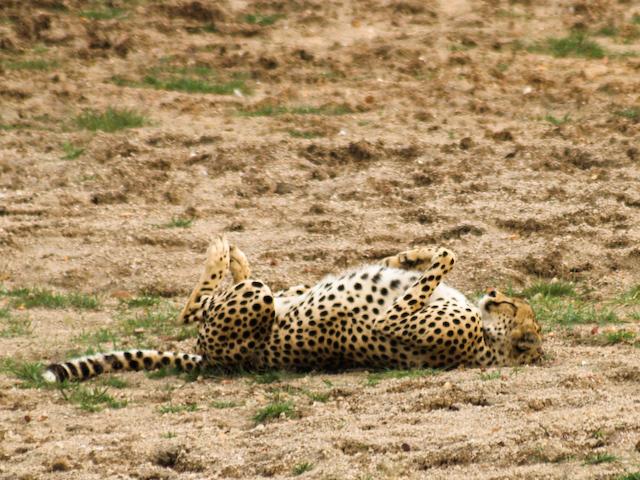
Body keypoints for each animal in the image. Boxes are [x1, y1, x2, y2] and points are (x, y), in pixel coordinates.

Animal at [42, 238, 544, 384]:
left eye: (514, 305)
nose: (496, 291)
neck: (485, 343)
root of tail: (216, 360)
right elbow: (416, 262)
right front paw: (412, 255)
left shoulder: (393, 320)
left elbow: (446, 258)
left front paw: (433, 254)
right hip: (281, 292)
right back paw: (235, 255)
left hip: (254, 300)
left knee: (195, 308)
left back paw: (222, 253)